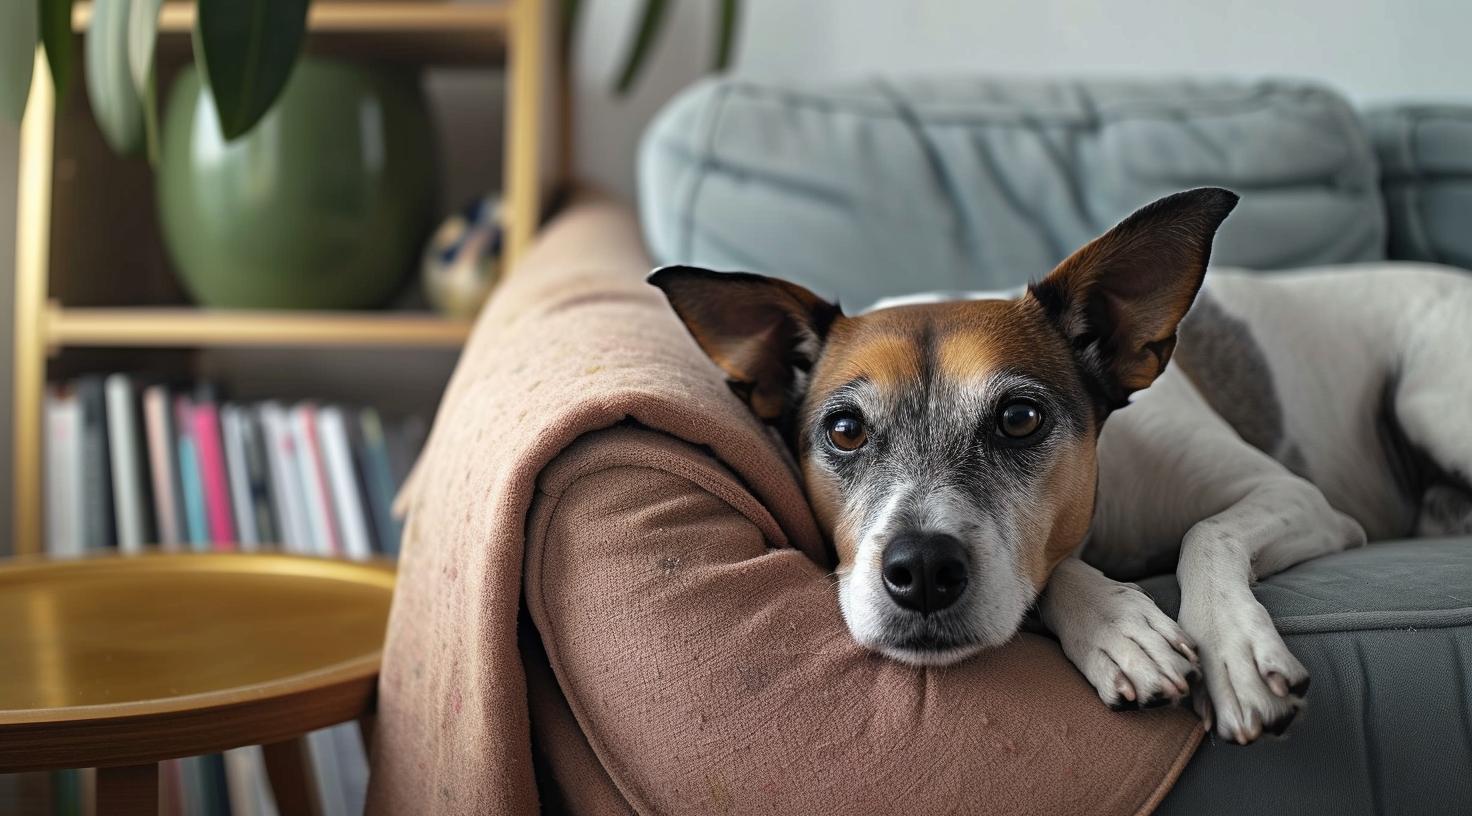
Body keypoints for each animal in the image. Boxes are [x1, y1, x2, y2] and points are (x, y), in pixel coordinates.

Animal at [653, 188, 1472, 742]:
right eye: (846, 430)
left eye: (1020, 419)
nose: (922, 570)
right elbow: (1054, 569)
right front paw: (1118, 627)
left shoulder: (1296, 497)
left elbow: (1206, 532)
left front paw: (1233, 651)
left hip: (1427, 403)